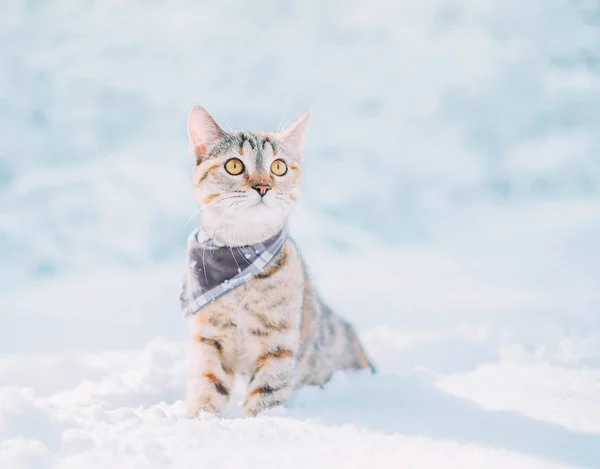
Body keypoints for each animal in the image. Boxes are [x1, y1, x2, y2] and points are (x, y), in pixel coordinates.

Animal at [182, 106, 376, 416]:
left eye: (278, 167)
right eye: (234, 166)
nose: (263, 187)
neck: (240, 265)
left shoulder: (278, 342)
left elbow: (267, 393)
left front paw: (260, 421)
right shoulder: (210, 338)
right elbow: (207, 385)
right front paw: (199, 420)